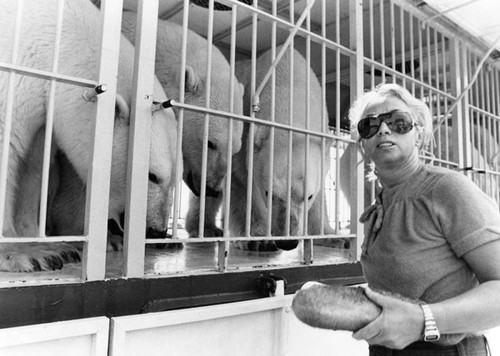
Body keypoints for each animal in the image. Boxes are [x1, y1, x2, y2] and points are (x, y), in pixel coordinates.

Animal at [0, 0, 180, 272]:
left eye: (175, 181)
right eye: (152, 176)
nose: (156, 231)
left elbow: (34, 168)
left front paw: (48, 247)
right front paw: (22, 253)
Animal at [231, 46, 340, 250]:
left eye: (308, 196)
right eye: (268, 193)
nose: (288, 242)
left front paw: (331, 236)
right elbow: (241, 181)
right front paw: (258, 239)